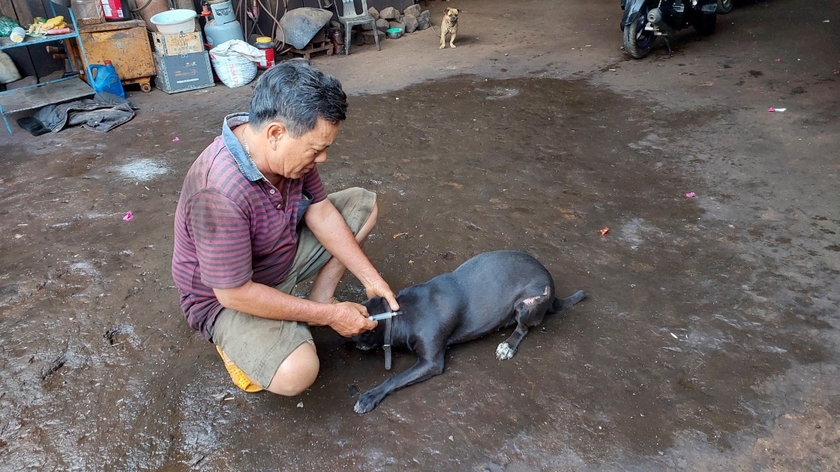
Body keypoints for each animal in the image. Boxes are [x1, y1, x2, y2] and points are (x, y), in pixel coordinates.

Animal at [352, 251, 584, 412]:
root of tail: (553, 290)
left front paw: (370, 396)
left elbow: (395, 378)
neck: (399, 315)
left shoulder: (431, 362)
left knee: (523, 329)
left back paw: (508, 345)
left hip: (530, 303)